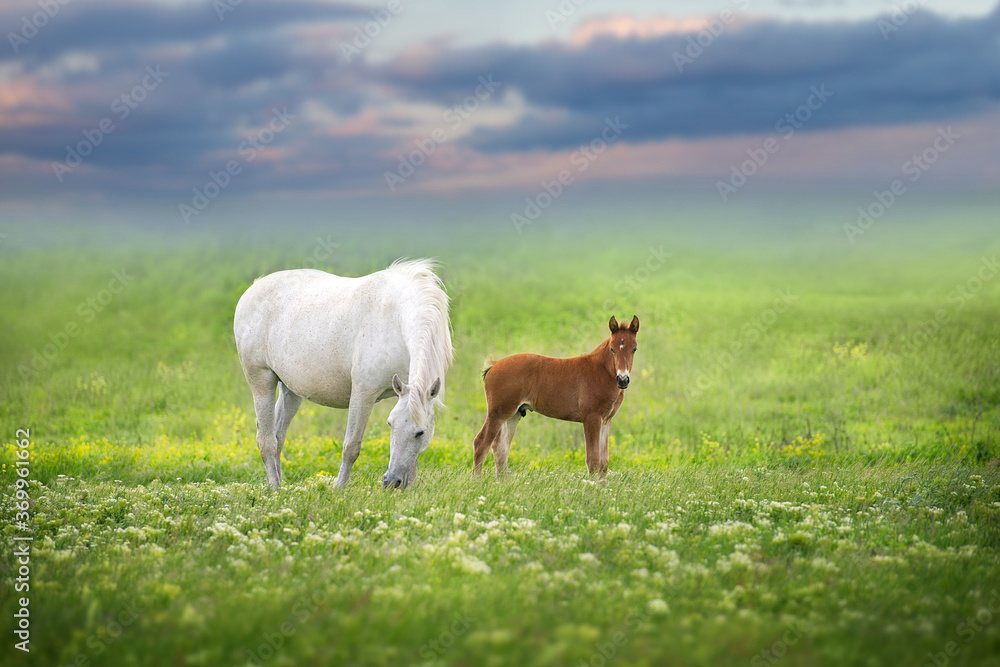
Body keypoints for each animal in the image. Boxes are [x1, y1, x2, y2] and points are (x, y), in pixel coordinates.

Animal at [232, 258, 452, 488]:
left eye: (420, 432)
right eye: (390, 424)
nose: (391, 481)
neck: (396, 318)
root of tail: (253, 288)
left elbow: (413, 462)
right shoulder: (363, 395)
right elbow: (351, 447)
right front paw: (338, 488)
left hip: (291, 391)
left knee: (278, 437)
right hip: (261, 382)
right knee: (266, 441)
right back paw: (275, 488)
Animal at [470, 316, 640, 478]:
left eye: (634, 349)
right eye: (612, 349)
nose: (622, 379)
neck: (601, 371)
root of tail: (494, 364)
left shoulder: (606, 420)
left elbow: (604, 463)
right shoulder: (591, 418)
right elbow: (593, 460)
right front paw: (591, 488)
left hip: (514, 414)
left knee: (501, 448)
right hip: (497, 413)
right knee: (481, 443)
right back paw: (476, 482)